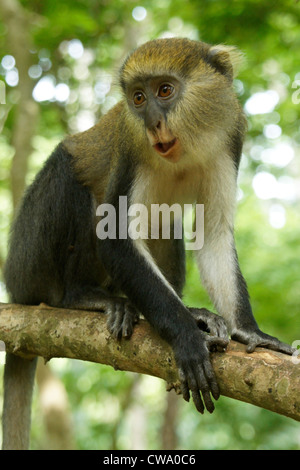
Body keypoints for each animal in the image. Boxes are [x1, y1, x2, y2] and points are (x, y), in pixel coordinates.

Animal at [1, 36, 294, 448]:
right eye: (138, 98)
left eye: (165, 91)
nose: (154, 123)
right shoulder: (132, 149)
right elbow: (116, 239)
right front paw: (187, 338)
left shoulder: (228, 142)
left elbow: (215, 237)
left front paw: (249, 332)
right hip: (29, 262)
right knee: (67, 174)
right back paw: (84, 297)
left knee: (167, 221)